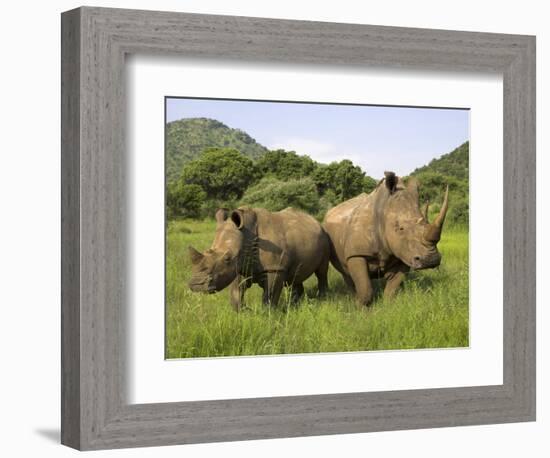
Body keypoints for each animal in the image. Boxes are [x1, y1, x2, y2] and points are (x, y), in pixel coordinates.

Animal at [188, 208, 330, 312]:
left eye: (227, 259)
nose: (196, 285)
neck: (246, 234)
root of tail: (316, 221)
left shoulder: (274, 268)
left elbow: (270, 294)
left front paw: (267, 314)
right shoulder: (240, 266)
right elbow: (236, 292)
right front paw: (243, 312)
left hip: (324, 236)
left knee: (321, 271)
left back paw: (322, 298)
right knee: (296, 275)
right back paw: (296, 304)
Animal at [326, 170, 450, 306]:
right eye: (401, 229)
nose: (431, 260)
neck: (383, 211)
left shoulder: (404, 253)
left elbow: (392, 289)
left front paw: (387, 306)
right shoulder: (356, 253)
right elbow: (365, 289)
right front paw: (359, 307)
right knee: (346, 273)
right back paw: (352, 297)